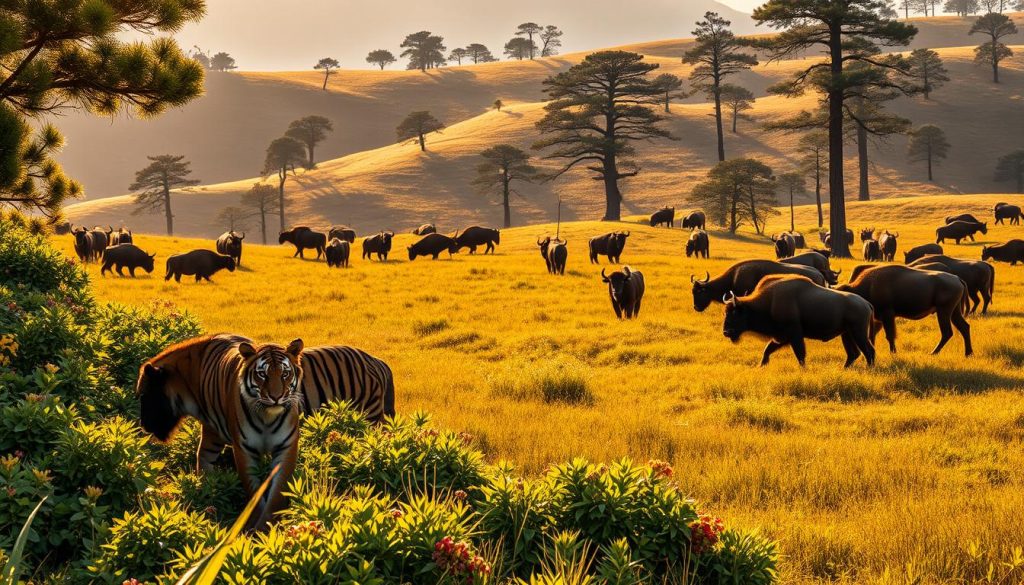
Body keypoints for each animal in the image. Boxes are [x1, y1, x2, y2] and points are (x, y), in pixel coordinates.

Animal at [136, 333, 395, 530]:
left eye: (143, 395)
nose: (143, 426)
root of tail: (376, 360)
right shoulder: (215, 435)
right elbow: (206, 462)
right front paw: (207, 490)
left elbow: (273, 493)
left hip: (370, 419)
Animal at [722, 275, 875, 367]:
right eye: (725, 312)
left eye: (735, 312)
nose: (726, 332)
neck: (770, 301)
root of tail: (866, 303)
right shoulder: (781, 337)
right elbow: (767, 350)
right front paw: (760, 367)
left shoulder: (794, 335)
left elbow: (800, 355)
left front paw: (804, 370)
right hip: (846, 334)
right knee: (854, 354)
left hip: (858, 333)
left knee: (868, 351)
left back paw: (869, 369)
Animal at [836, 265, 971, 356]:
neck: (869, 285)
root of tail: (957, 279)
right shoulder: (879, 319)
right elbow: (872, 335)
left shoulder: (887, 315)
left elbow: (890, 335)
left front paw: (893, 353)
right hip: (954, 312)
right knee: (964, 327)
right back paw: (968, 353)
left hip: (944, 311)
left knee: (947, 332)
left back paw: (933, 352)